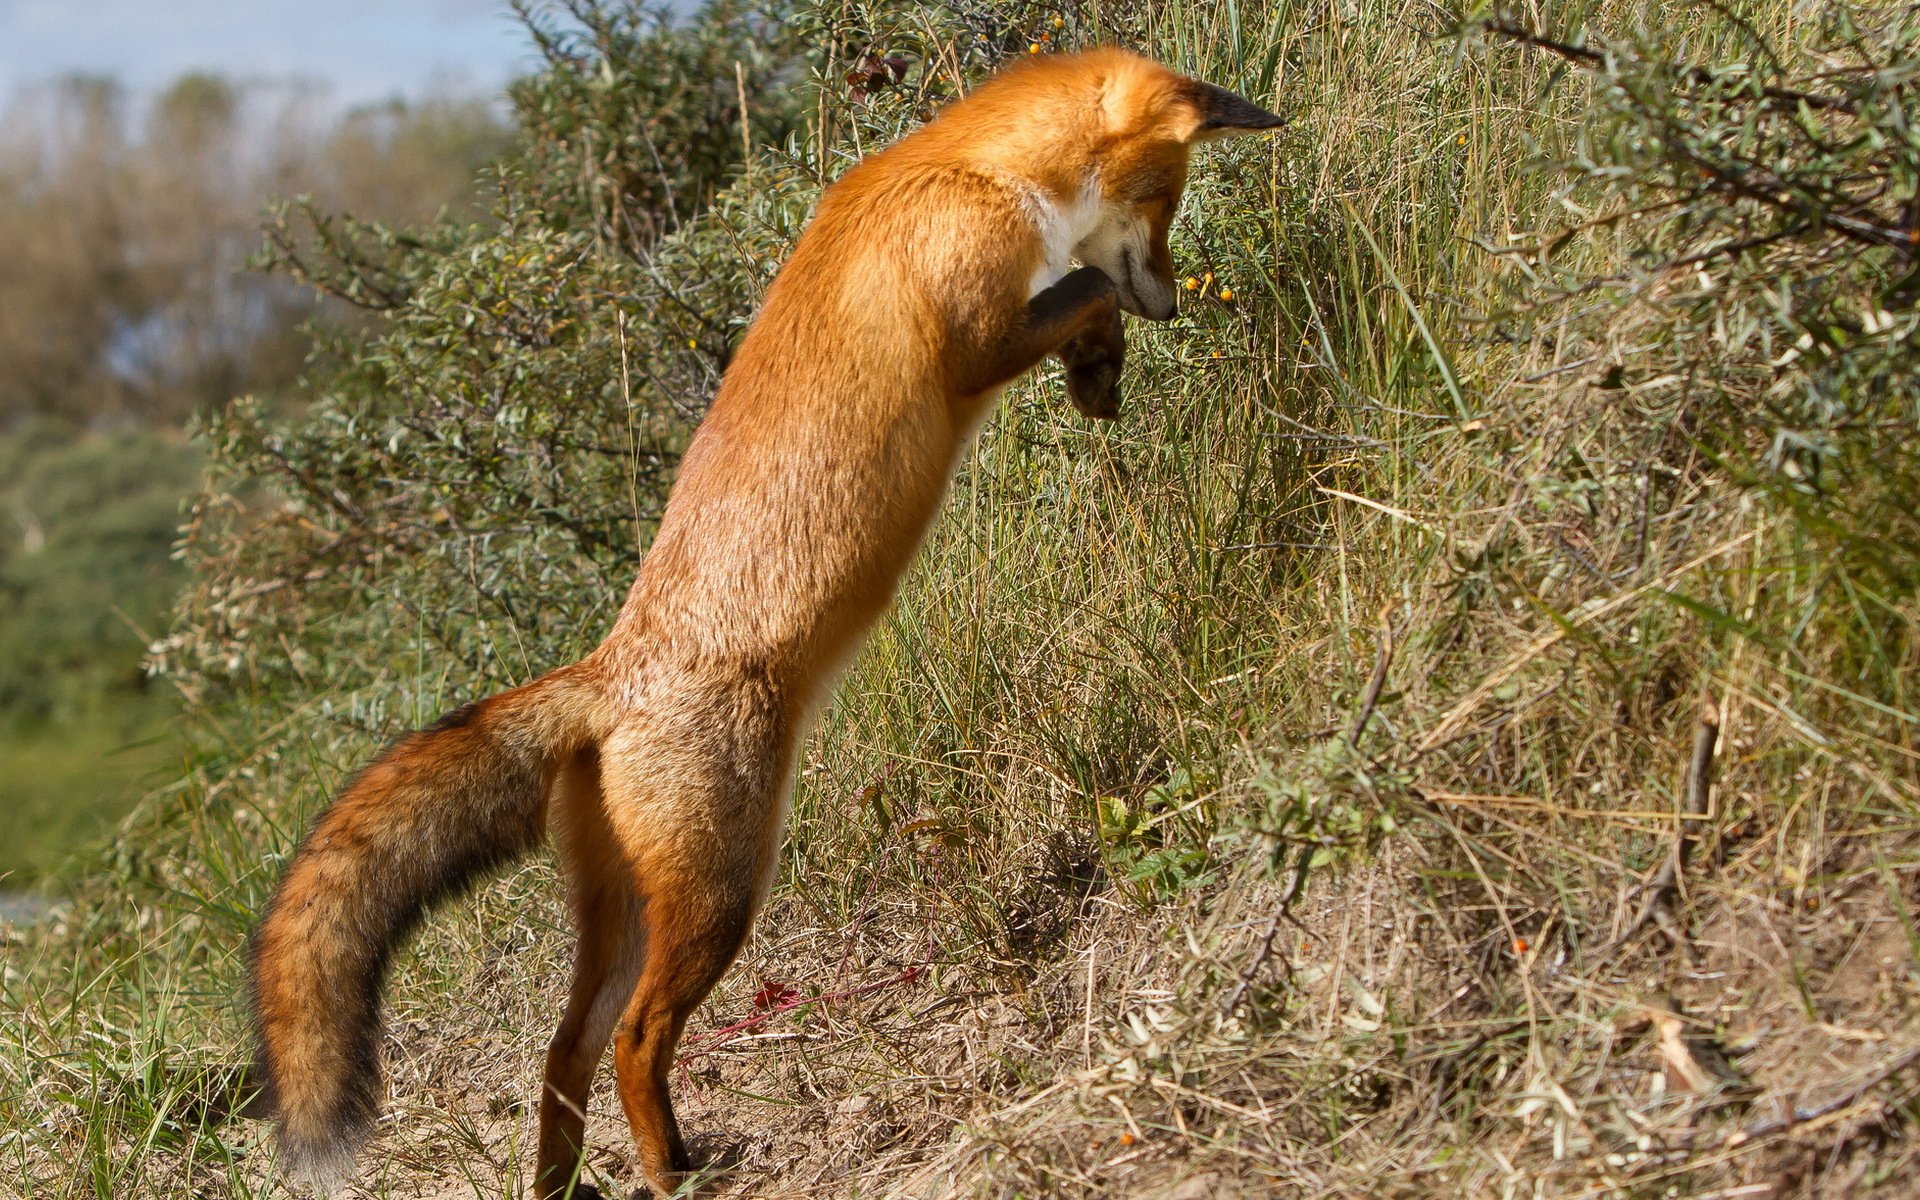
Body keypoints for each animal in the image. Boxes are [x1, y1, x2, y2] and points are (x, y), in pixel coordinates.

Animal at [251, 49, 1274, 1198]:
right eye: (1168, 199)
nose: (1176, 307)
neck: (970, 171)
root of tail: (608, 673)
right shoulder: (973, 341)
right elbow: (1085, 288)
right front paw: (1103, 353)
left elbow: (1086, 301)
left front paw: (1099, 376)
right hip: (722, 893)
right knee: (633, 1040)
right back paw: (671, 1170)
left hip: (631, 915)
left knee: (562, 1052)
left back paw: (567, 1183)